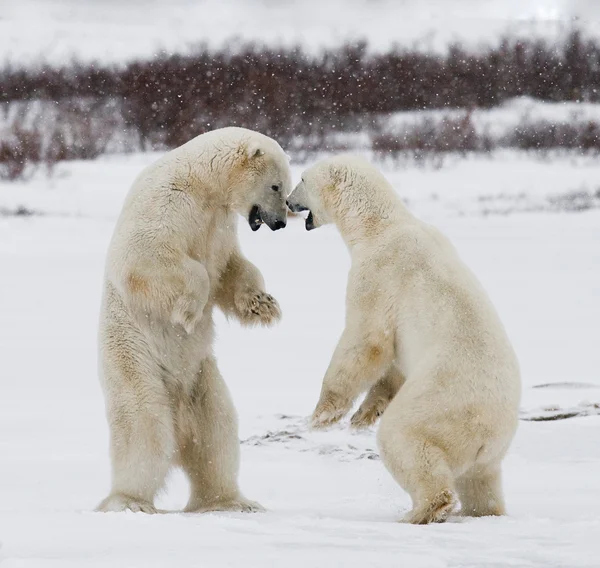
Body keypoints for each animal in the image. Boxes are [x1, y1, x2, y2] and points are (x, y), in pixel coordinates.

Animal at [97, 129, 292, 516]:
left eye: (286, 187)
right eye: (276, 186)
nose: (280, 222)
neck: (204, 183)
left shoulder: (221, 225)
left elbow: (231, 269)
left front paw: (264, 305)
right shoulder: (169, 203)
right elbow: (148, 255)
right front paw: (188, 311)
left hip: (201, 377)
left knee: (217, 431)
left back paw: (231, 502)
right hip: (133, 359)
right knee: (145, 427)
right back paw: (129, 502)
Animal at [286, 154, 520, 524]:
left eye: (303, 179)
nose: (287, 201)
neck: (379, 226)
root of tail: (490, 428)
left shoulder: (376, 275)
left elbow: (366, 340)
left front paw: (323, 415)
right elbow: (393, 362)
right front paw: (362, 415)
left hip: (439, 403)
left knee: (404, 439)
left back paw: (420, 511)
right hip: (490, 450)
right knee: (481, 481)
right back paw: (483, 511)